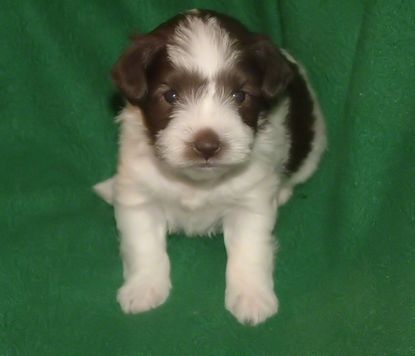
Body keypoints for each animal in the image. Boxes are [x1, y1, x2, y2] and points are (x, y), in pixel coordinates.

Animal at [96, 9, 326, 326]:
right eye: (171, 96)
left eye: (240, 96)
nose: (207, 145)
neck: (195, 181)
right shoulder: (139, 198)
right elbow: (143, 246)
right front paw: (144, 287)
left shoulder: (250, 204)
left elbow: (250, 250)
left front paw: (252, 296)